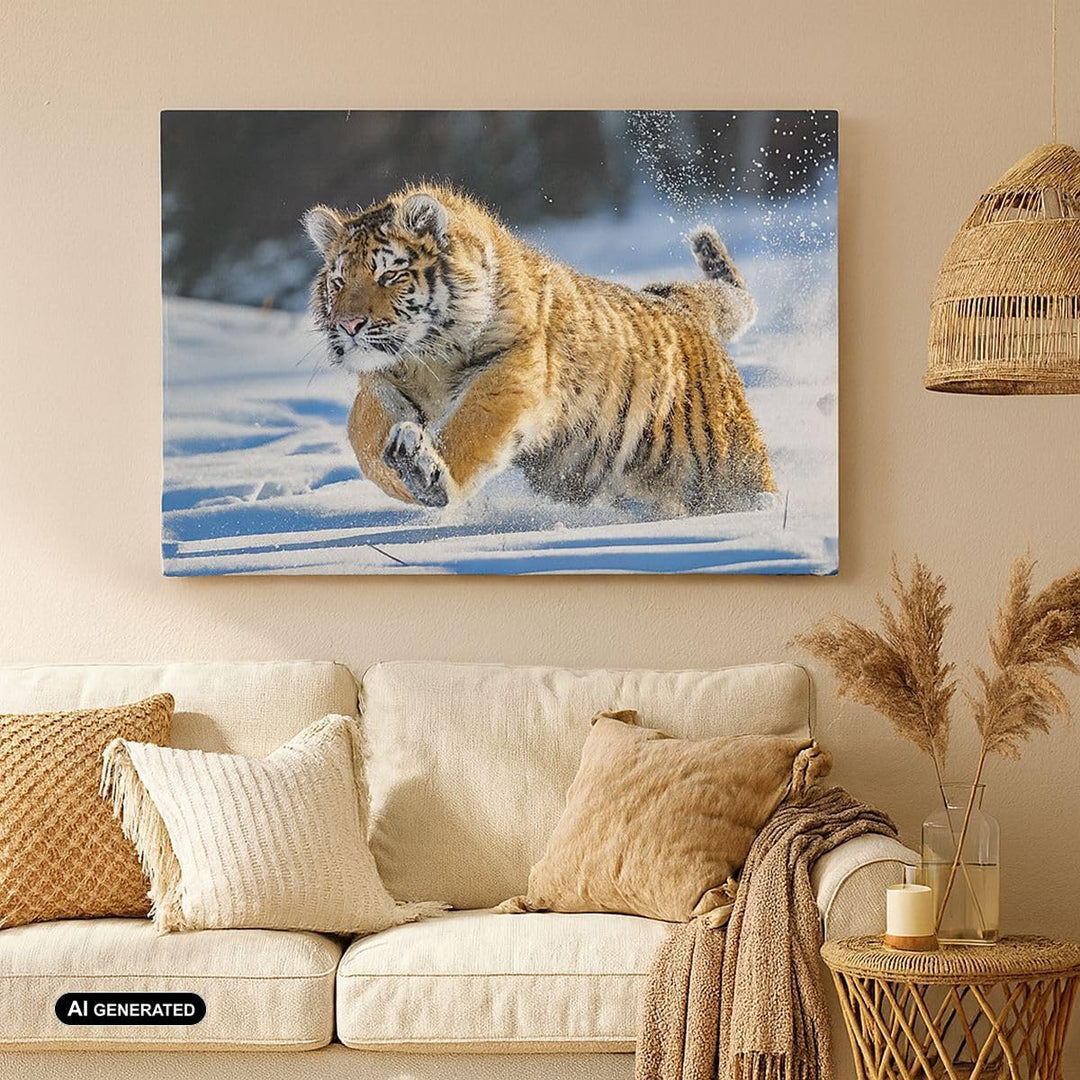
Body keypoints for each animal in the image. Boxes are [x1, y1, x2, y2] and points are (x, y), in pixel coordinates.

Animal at [302, 184, 775, 516]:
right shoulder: (380, 383)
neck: (428, 358)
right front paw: (403, 471)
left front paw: (427, 473)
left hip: (730, 464)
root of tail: (680, 303)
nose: (348, 325)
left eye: (389, 276)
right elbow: (365, 439)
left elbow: (470, 427)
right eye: (339, 281)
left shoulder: (511, 371)